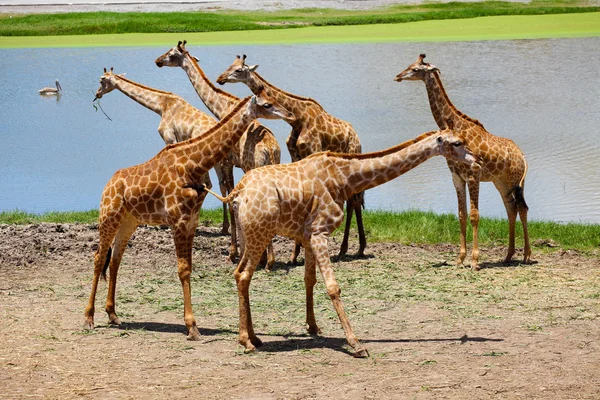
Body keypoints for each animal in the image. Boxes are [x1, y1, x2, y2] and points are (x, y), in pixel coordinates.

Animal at [157, 39, 284, 272]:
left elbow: (229, 197)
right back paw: (269, 259)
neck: (223, 107)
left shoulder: (227, 162)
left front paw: (233, 252)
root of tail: (270, 149)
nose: (158, 61)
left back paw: (266, 260)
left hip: (253, 167)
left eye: (171, 54)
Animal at [203, 128, 478, 356]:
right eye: (457, 143)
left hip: (249, 234)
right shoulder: (320, 232)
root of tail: (237, 193)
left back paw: (255, 338)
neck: (344, 178)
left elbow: (309, 280)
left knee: (240, 274)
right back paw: (246, 341)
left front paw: (313, 327)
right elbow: (333, 287)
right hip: (260, 233)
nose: (475, 160)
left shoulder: (308, 234)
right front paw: (356, 344)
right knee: (244, 275)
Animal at [216, 54, 366, 264]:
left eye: (238, 70)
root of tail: (357, 137)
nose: (220, 79)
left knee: (354, 200)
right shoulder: (295, 154)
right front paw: (295, 254)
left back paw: (351, 249)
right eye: (230, 65)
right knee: (354, 200)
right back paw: (353, 248)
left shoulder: (312, 151)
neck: (297, 118)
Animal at [396, 54, 532, 272]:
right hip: (501, 183)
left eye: (416, 69)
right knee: (511, 208)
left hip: (516, 181)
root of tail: (522, 156)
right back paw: (508, 255)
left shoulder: (473, 173)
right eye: (410, 65)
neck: (457, 128)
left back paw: (527, 255)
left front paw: (475, 261)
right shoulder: (456, 177)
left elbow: (475, 215)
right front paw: (459, 259)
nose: (398, 76)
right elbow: (461, 214)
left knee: (522, 208)